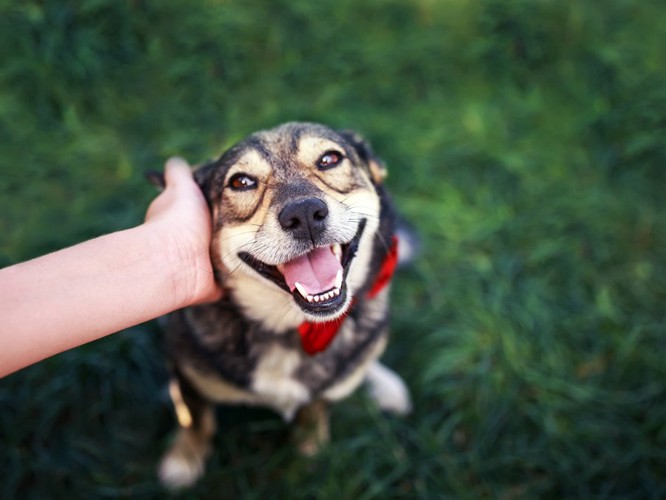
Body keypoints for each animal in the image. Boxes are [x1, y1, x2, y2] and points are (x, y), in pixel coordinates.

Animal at [154, 121, 410, 488]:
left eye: (330, 159)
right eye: (240, 181)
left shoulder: (324, 389)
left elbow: (314, 410)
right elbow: (195, 418)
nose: (304, 214)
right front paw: (183, 460)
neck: (288, 328)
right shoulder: (188, 374)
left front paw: (309, 451)